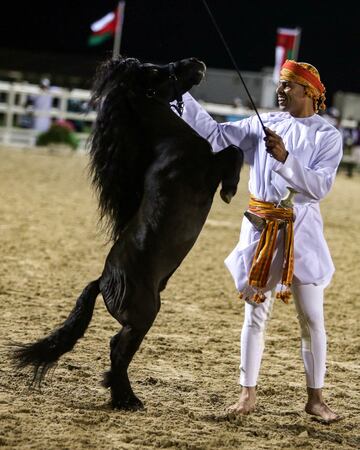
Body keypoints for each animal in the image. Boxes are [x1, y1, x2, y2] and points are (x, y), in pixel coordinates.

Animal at [14, 56, 245, 412]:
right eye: (156, 71)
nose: (195, 62)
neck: (171, 144)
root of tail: (102, 280)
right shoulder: (209, 167)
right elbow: (234, 152)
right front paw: (230, 191)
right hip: (143, 314)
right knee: (118, 348)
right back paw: (127, 398)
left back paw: (121, 395)